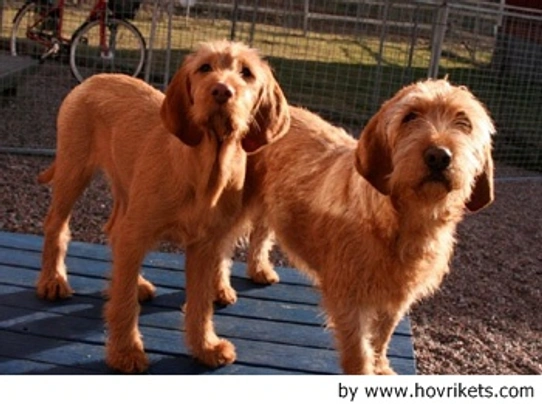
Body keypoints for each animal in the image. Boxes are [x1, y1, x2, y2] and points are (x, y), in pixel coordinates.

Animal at [36, 40, 292, 372]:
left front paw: (205, 347)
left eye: (246, 73)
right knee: (56, 223)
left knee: (114, 230)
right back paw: (53, 281)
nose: (221, 91)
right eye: (205, 68)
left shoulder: (205, 246)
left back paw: (137, 284)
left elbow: (200, 303)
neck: (205, 168)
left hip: (125, 186)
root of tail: (95, 78)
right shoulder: (139, 231)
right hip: (74, 169)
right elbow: (123, 303)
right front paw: (126, 353)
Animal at [244, 79, 496, 376]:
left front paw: (380, 366)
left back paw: (259, 269)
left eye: (464, 121)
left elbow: (381, 336)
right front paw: (365, 370)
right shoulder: (349, 299)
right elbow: (358, 349)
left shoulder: (396, 298)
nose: (438, 156)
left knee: (260, 234)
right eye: (410, 116)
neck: (402, 222)